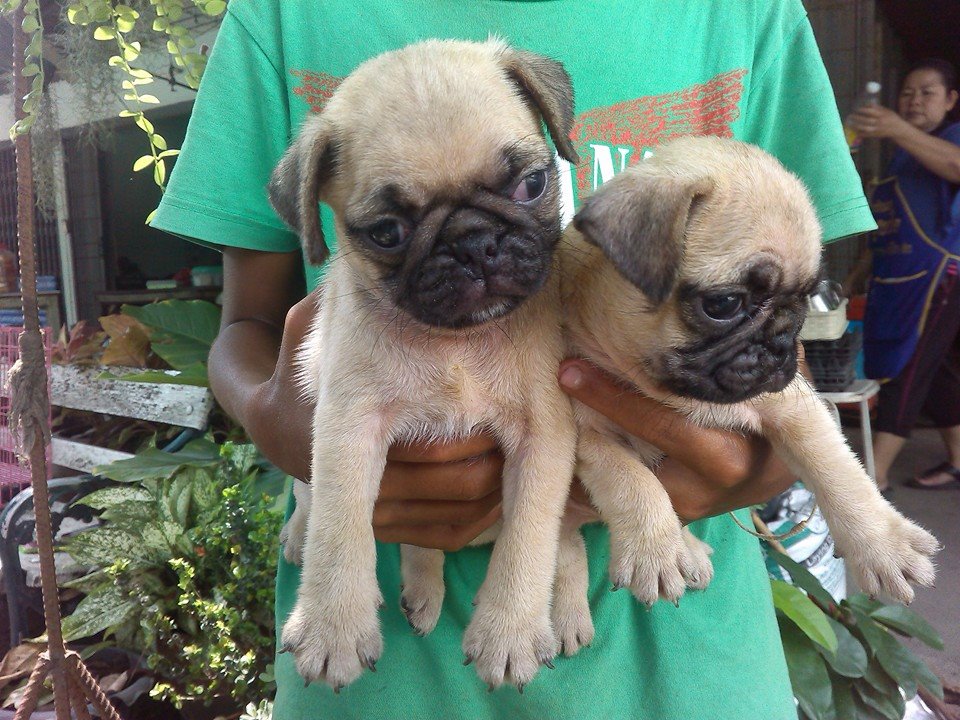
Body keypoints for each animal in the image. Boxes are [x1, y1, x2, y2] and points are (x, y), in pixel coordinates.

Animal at [268, 39, 581, 691]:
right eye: (388, 233)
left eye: (533, 184)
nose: (473, 244)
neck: (454, 343)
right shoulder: (348, 426)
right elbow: (339, 524)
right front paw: (334, 624)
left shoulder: (545, 433)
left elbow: (529, 536)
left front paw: (510, 630)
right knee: (315, 504)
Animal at [560, 136, 939, 607]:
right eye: (724, 304)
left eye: (807, 296)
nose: (782, 340)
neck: (666, 389)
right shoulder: (590, 431)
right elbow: (631, 481)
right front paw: (654, 551)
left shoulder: (795, 409)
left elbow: (838, 471)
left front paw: (884, 544)